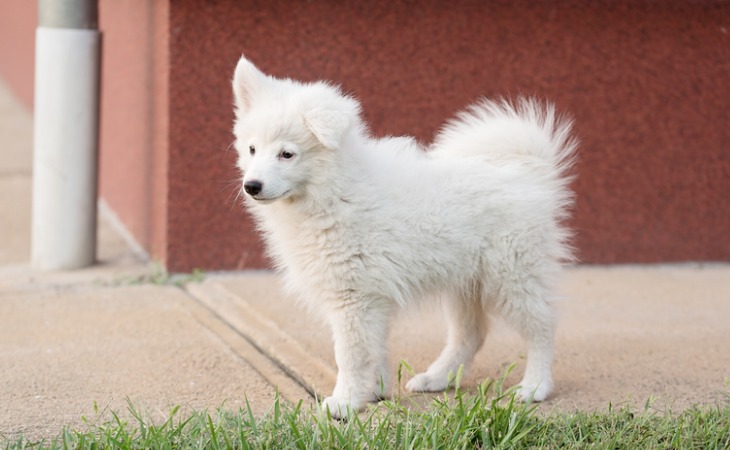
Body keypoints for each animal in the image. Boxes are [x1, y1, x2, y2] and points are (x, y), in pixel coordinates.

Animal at [230, 56, 576, 418]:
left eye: (287, 154)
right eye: (252, 149)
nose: (251, 186)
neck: (334, 193)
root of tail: (529, 172)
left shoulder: (354, 299)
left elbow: (350, 356)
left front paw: (344, 402)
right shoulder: (373, 298)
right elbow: (375, 348)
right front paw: (373, 392)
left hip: (512, 275)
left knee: (541, 326)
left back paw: (534, 386)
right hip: (465, 282)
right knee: (471, 335)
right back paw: (437, 378)